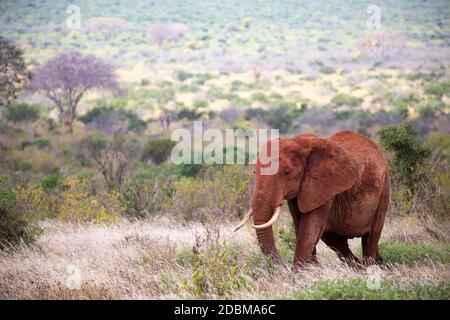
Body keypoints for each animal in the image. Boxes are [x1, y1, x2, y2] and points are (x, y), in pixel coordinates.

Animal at [234, 130, 388, 268]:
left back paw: (370, 267)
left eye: (287, 173)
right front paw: (312, 269)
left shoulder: (324, 186)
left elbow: (309, 229)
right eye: (255, 172)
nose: (283, 266)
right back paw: (367, 266)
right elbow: (300, 226)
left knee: (372, 235)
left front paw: (300, 274)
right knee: (335, 241)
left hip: (384, 188)